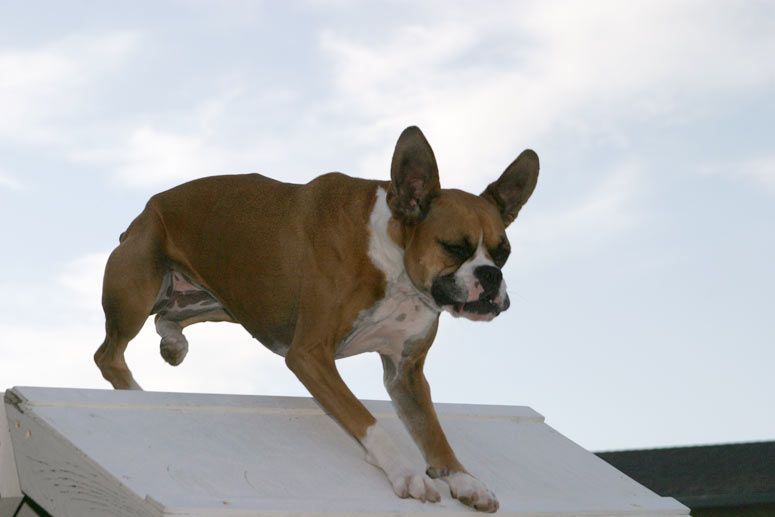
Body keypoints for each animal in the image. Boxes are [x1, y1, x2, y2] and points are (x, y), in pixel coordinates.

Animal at [95, 126, 540, 512]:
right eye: (454, 248)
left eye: (503, 254)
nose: (490, 276)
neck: (392, 261)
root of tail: (145, 210)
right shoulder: (310, 354)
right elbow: (366, 419)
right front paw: (405, 472)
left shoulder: (406, 373)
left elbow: (433, 433)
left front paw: (465, 480)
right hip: (139, 290)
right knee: (109, 354)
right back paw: (135, 390)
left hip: (220, 302)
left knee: (170, 316)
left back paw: (173, 342)